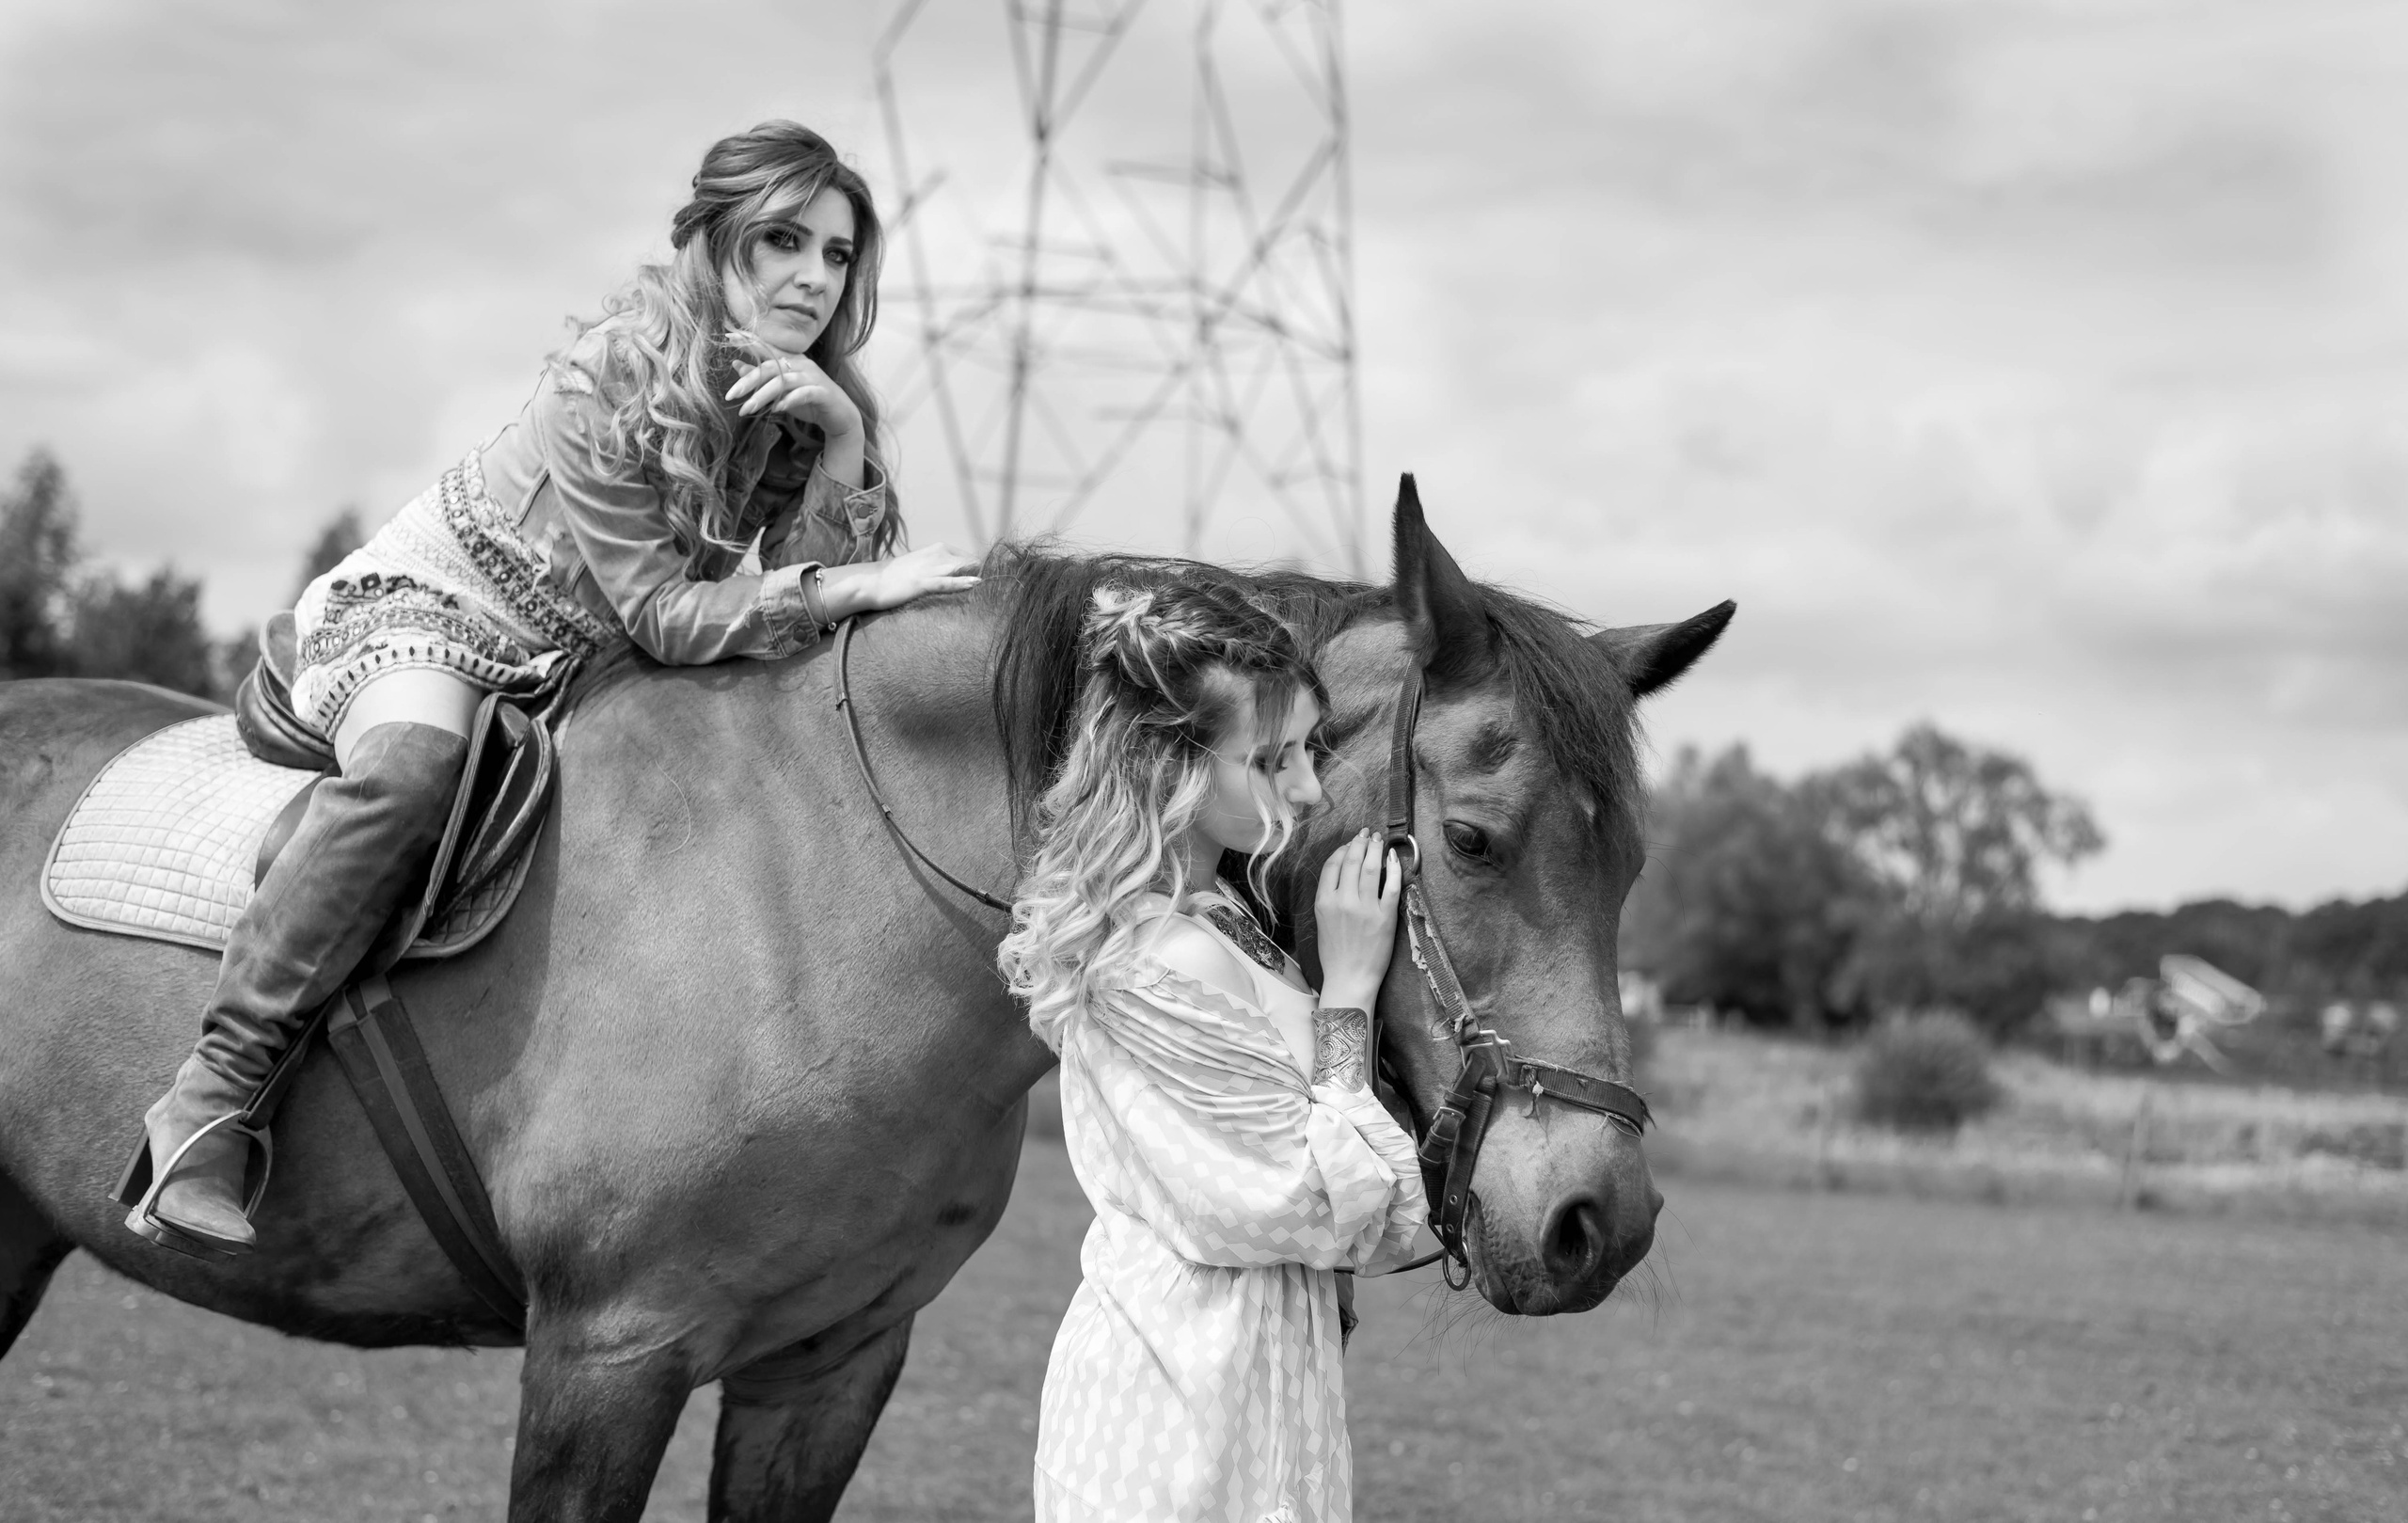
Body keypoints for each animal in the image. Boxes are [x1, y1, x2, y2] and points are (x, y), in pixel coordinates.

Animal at [0, 483, 1730, 1521]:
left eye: (1635, 862)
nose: (1598, 1215)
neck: (822, 885)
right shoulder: (604, 1354)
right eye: (1473, 837)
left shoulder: (828, 1366)